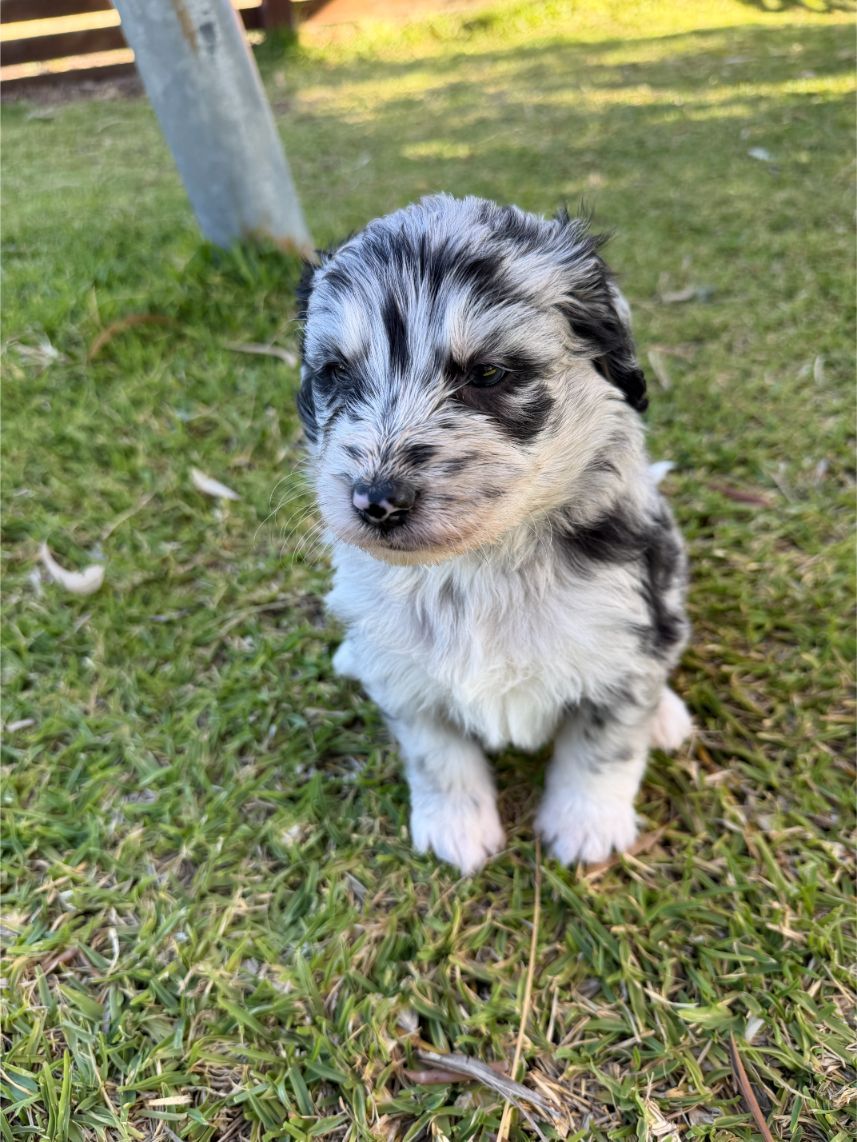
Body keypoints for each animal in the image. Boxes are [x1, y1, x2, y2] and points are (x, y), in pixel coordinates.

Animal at [296, 195, 692, 874]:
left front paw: (585, 825)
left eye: (488, 372)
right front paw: (455, 825)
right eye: (335, 372)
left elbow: (604, 746)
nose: (375, 502)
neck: (481, 564)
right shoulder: (407, 680)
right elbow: (436, 754)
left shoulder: (623, 645)